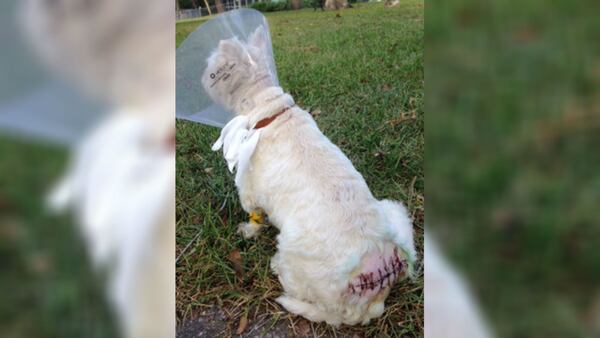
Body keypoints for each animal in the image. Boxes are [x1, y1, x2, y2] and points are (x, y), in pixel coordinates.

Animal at [204, 27, 414, 326]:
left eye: (214, 71)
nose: (203, 77)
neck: (270, 111)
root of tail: (372, 296)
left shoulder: (248, 188)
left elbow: (255, 216)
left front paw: (247, 231)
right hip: (394, 213)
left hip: (293, 254)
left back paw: (276, 268)